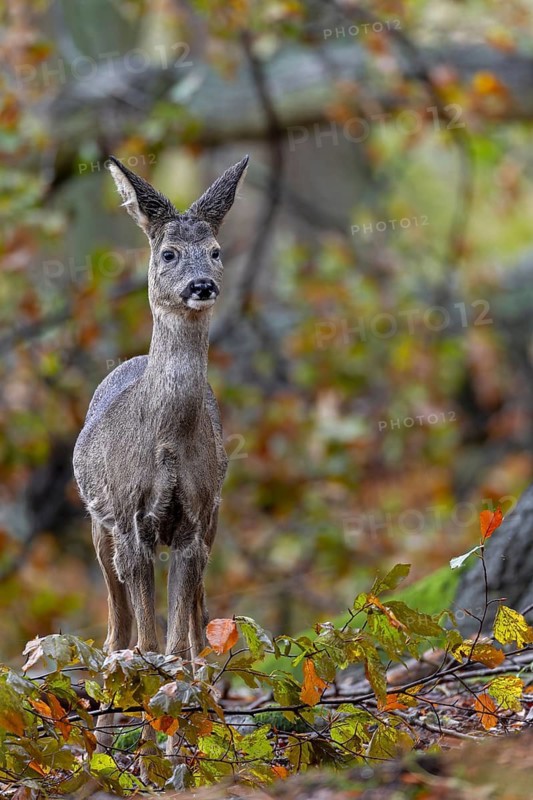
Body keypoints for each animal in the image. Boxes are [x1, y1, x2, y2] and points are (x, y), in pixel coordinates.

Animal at [72, 155, 249, 752]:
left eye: (216, 249)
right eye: (168, 252)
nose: (202, 285)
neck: (166, 443)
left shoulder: (193, 522)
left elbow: (176, 649)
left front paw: (176, 747)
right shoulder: (130, 521)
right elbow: (145, 647)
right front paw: (149, 746)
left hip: (213, 522)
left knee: (198, 629)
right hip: (100, 528)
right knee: (116, 631)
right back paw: (103, 741)